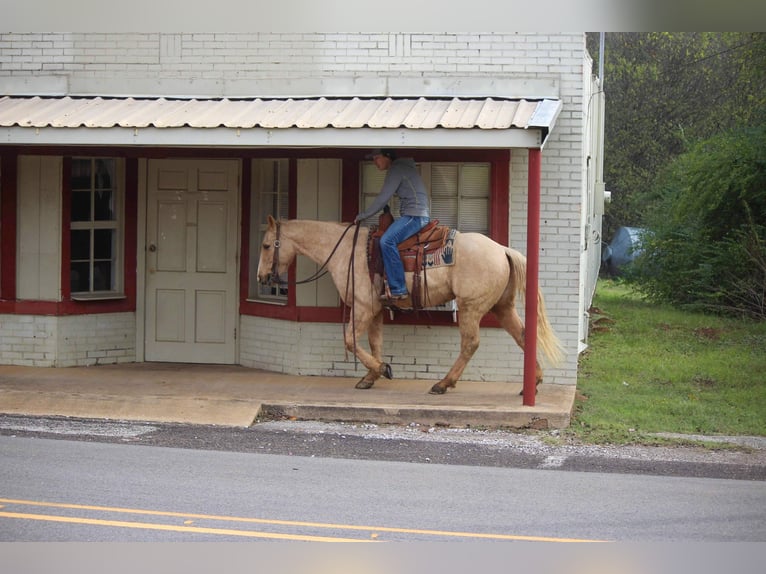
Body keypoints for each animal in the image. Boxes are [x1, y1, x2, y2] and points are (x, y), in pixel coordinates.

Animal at [258, 216, 564, 396]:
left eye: (265, 245)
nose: (262, 277)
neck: (346, 250)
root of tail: (502, 249)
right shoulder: (375, 310)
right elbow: (375, 343)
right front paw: (371, 376)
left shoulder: (362, 307)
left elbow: (350, 340)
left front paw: (383, 370)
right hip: (502, 307)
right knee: (523, 335)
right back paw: (533, 382)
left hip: (471, 308)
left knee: (470, 343)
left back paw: (443, 384)